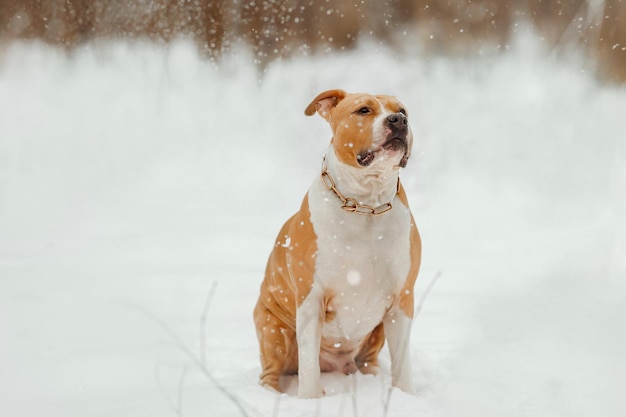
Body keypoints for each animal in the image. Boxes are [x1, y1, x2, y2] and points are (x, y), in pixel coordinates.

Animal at [252, 88, 420, 396]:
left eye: (402, 110)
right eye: (363, 110)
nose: (398, 120)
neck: (365, 204)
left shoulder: (402, 298)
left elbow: (403, 363)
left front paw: (407, 396)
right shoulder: (311, 299)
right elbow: (309, 366)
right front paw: (310, 399)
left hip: (375, 334)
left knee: (368, 360)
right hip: (273, 329)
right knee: (272, 370)